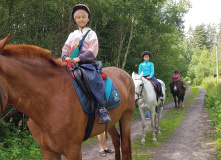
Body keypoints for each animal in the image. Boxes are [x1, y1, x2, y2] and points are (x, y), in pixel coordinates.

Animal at [0, 34, 135, 159]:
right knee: (116, 140)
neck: (49, 104)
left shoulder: (73, 150)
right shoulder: (47, 151)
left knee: (125, 148)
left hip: (126, 117)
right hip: (111, 121)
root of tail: (125, 74)